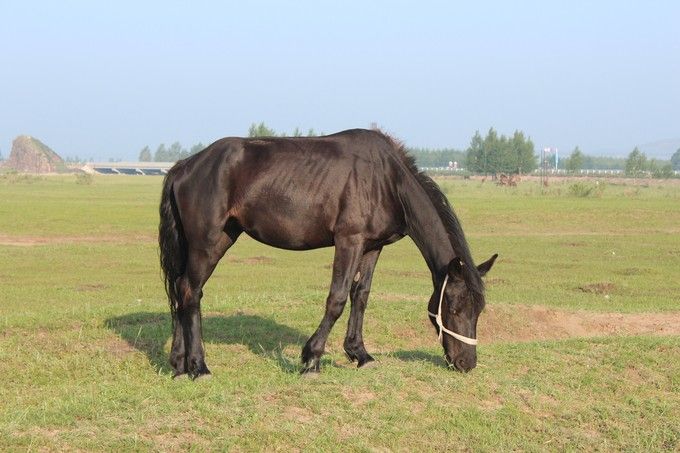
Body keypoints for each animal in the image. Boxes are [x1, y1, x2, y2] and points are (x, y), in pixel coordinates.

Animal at [162, 128, 496, 378]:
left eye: (479, 309)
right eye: (454, 308)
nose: (467, 363)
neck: (386, 179)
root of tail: (185, 165)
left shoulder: (372, 247)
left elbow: (360, 296)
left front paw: (360, 354)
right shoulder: (349, 241)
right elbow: (337, 298)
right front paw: (311, 358)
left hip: (218, 239)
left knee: (181, 291)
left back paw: (179, 364)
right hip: (207, 243)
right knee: (190, 291)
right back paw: (199, 367)